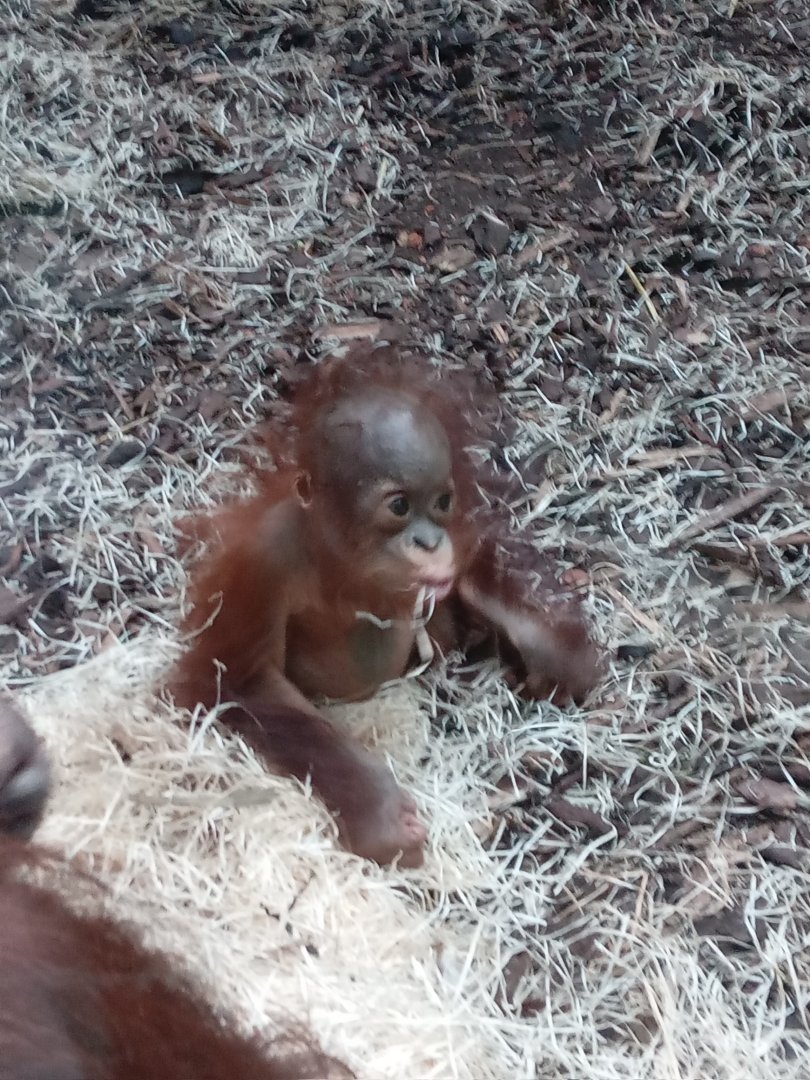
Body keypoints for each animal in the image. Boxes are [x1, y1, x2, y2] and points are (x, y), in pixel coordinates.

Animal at [172, 344, 603, 870]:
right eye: (399, 506)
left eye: (441, 501)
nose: (429, 541)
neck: (343, 562)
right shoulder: (264, 559)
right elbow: (239, 680)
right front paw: (381, 816)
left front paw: (549, 647)